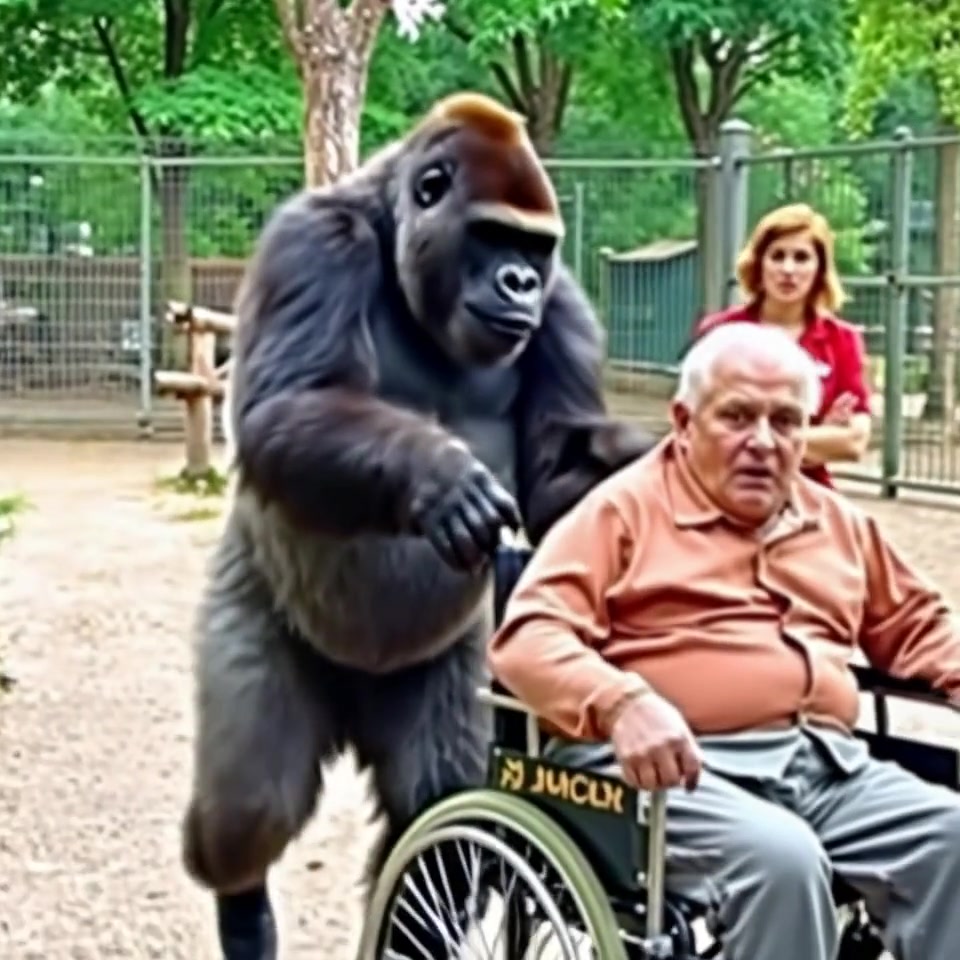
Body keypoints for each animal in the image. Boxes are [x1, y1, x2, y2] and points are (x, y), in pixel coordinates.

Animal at [180, 91, 655, 959]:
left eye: (535, 248)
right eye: (494, 235)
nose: (519, 281)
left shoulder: (565, 305)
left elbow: (551, 480)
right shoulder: (311, 242)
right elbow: (280, 409)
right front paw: (439, 479)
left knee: (441, 802)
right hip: (253, 606)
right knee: (249, 805)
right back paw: (245, 907)